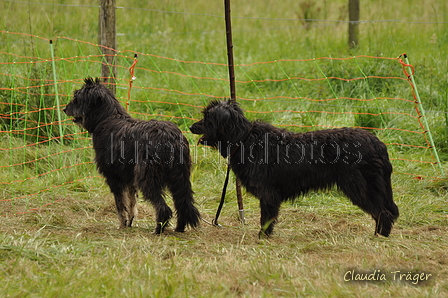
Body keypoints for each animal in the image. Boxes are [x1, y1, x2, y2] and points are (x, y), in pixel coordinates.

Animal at [64, 78, 200, 234]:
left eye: (77, 98)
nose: (64, 109)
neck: (107, 118)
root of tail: (168, 136)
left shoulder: (114, 177)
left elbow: (120, 205)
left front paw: (122, 225)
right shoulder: (129, 177)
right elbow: (131, 202)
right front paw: (130, 222)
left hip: (147, 177)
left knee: (163, 208)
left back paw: (158, 230)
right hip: (180, 178)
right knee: (183, 204)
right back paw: (179, 228)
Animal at [189, 99, 400, 237]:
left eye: (207, 118)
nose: (191, 127)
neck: (244, 139)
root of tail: (378, 143)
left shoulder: (268, 194)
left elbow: (266, 219)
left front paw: (262, 237)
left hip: (360, 187)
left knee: (384, 213)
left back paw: (380, 237)